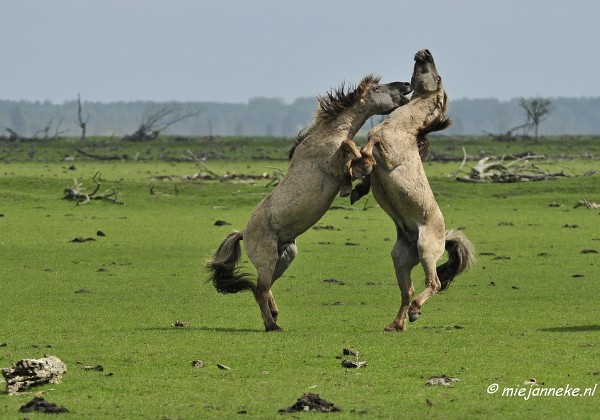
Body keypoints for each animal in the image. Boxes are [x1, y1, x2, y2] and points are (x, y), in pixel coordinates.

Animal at [207, 76, 412, 332]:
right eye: (377, 88)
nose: (406, 85)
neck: (327, 135)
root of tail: (243, 233)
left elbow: (355, 152)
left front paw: (359, 180)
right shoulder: (331, 162)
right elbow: (349, 146)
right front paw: (353, 179)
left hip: (285, 257)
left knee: (262, 288)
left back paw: (274, 316)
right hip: (267, 260)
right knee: (260, 290)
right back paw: (273, 325)